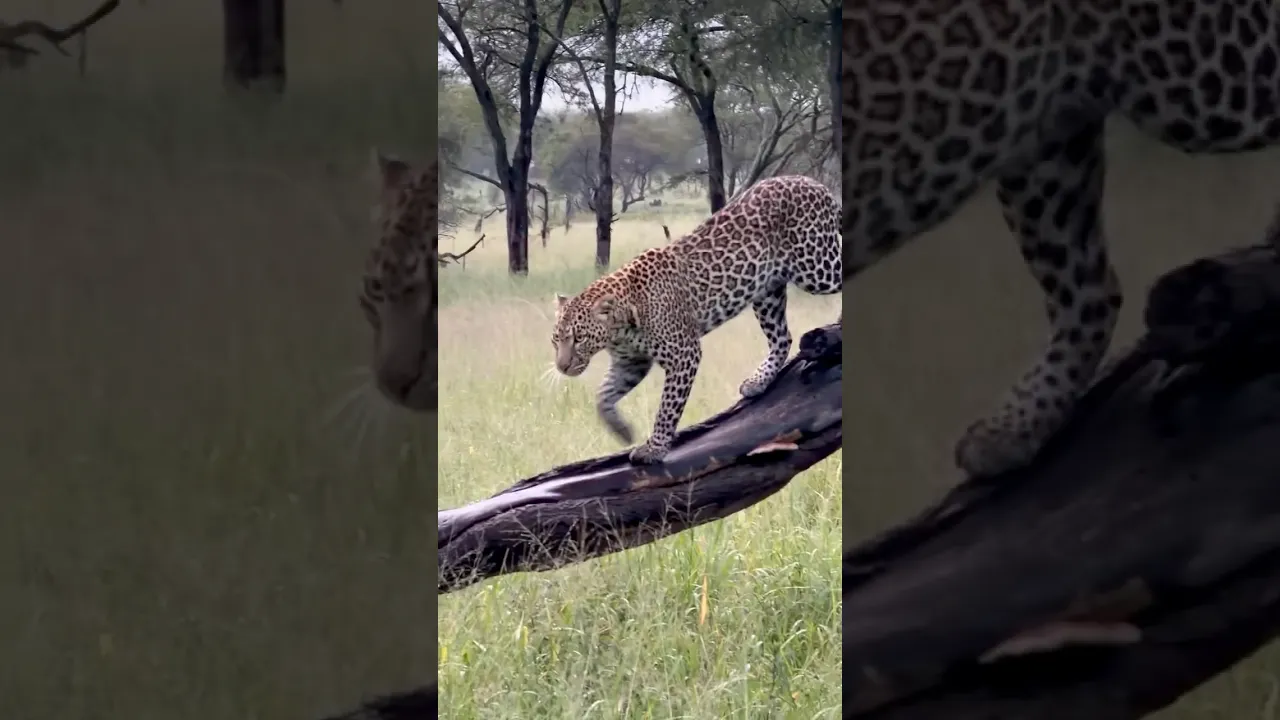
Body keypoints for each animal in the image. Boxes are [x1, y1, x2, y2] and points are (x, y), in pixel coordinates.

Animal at [552, 175, 842, 465]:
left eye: (579, 338)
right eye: (556, 340)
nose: (562, 367)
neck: (620, 327)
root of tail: (812, 182)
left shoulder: (684, 354)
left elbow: (667, 407)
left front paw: (655, 448)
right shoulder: (631, 363)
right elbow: (603, 395)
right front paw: (622, 431)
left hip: (816, 266)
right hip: (767, 292)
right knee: (782, 338)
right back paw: (758, 382)